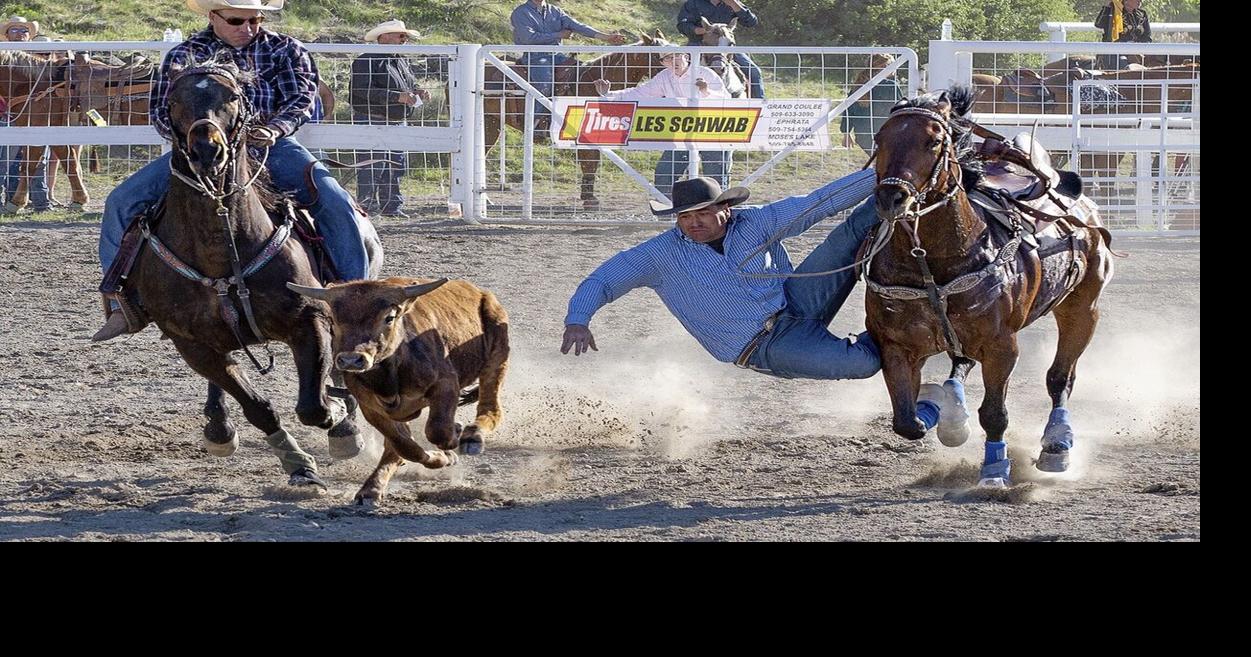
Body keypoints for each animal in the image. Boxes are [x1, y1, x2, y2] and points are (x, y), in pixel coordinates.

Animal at [482, 32, 670, 208]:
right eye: (658, 55)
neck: (590, 83)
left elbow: (592, 161)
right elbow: (589, 160)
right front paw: (589, 198)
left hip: (491, 125)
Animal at [870, 84, 1115, 485]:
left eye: (934, 141)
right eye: (880, 138)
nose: (892, 198)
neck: (931, 264)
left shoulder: (1002, 346)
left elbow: (994, 414)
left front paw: (995, 470)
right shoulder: (895, 345)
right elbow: (907, 420)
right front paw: (941, 413)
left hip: (1082, 308)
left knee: (1060, 378)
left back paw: (1056, 445)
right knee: (961, 364)